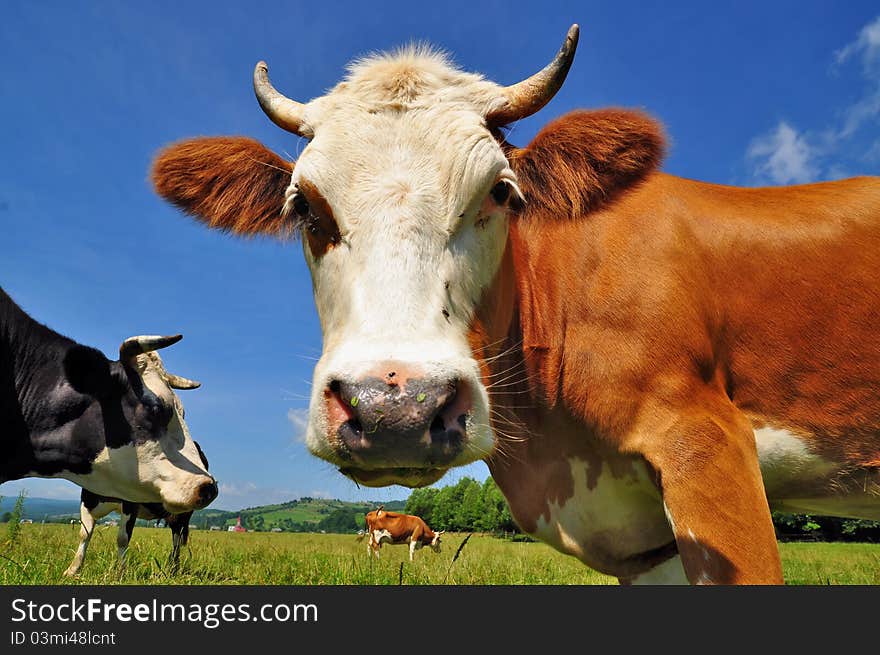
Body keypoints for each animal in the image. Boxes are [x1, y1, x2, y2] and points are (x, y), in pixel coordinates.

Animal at [64, 440, 211, 580]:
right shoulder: (87, 498)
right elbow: (84, 533)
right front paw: (72, 570)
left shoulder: (131, 503)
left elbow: (122, 538)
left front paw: (121, 573)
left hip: (182, 514)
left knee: (177, 541)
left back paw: (172, 569)